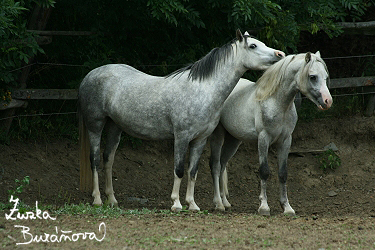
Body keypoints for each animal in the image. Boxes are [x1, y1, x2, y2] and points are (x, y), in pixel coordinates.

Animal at [210, 51, 334, 215]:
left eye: (326, 76)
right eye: (313, 76)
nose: (328, 101)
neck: (276, 102)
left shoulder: (285, 141)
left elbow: (283, 173)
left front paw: (287, 207)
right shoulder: (264, 139)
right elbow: (264, 171)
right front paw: (264, 207)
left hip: (234, 140)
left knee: (223, 164)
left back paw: (225, 202)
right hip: (218, 136)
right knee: (216, 166)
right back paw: (218, 204)